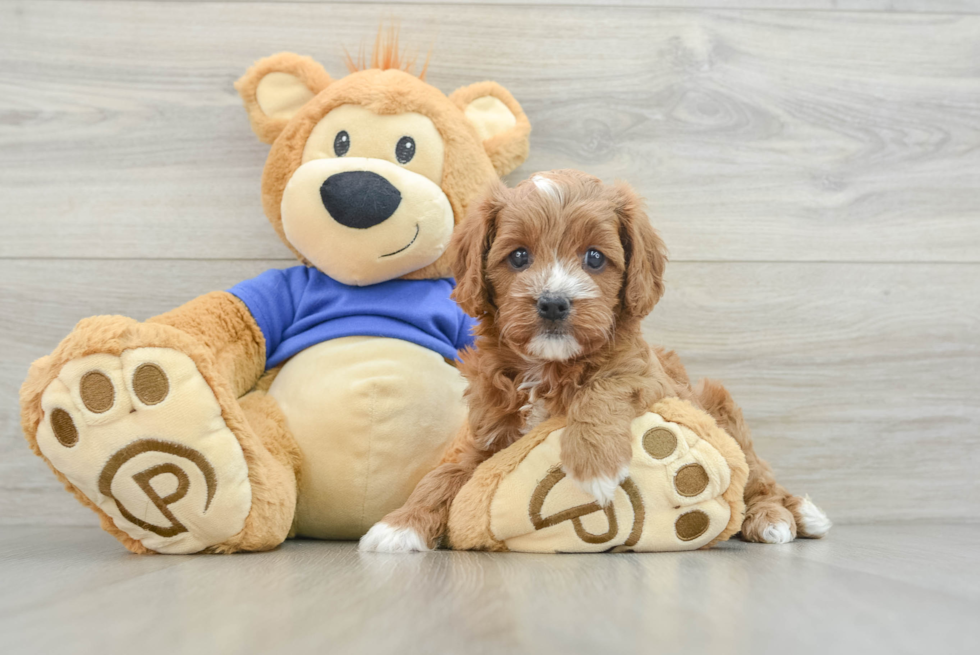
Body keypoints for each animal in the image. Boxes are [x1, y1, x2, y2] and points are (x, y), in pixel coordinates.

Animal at [360, 170, 828, 552]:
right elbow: (447, 473)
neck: (547, 367)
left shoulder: (648, 376)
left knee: (758, 477)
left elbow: (606, 385)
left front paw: (595, 469)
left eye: (595, 257)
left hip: (721, 409)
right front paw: (401, 524)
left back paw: (783, 515)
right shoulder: (488, 434)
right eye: (518, 256)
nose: (553, 303)